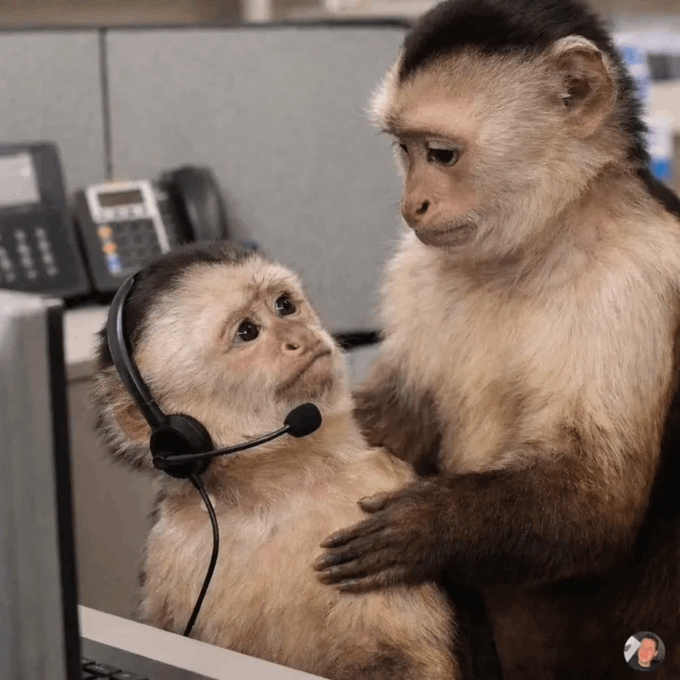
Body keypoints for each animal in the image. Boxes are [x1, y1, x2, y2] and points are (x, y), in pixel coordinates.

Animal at [91, 243, 462, 680]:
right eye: (247, 332)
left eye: (284, 306)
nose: (299, 337)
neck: (271, 491)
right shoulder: (169, 543)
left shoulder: (373, 490)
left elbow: (403, 660)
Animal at [312, 1, 680, 678]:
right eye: (404, 150)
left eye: (441, 154)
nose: (412, 205)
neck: (539, 243)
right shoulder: (413, 267)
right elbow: (398, 421)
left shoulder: (636, 279)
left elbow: (596, 502)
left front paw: (428, 526)